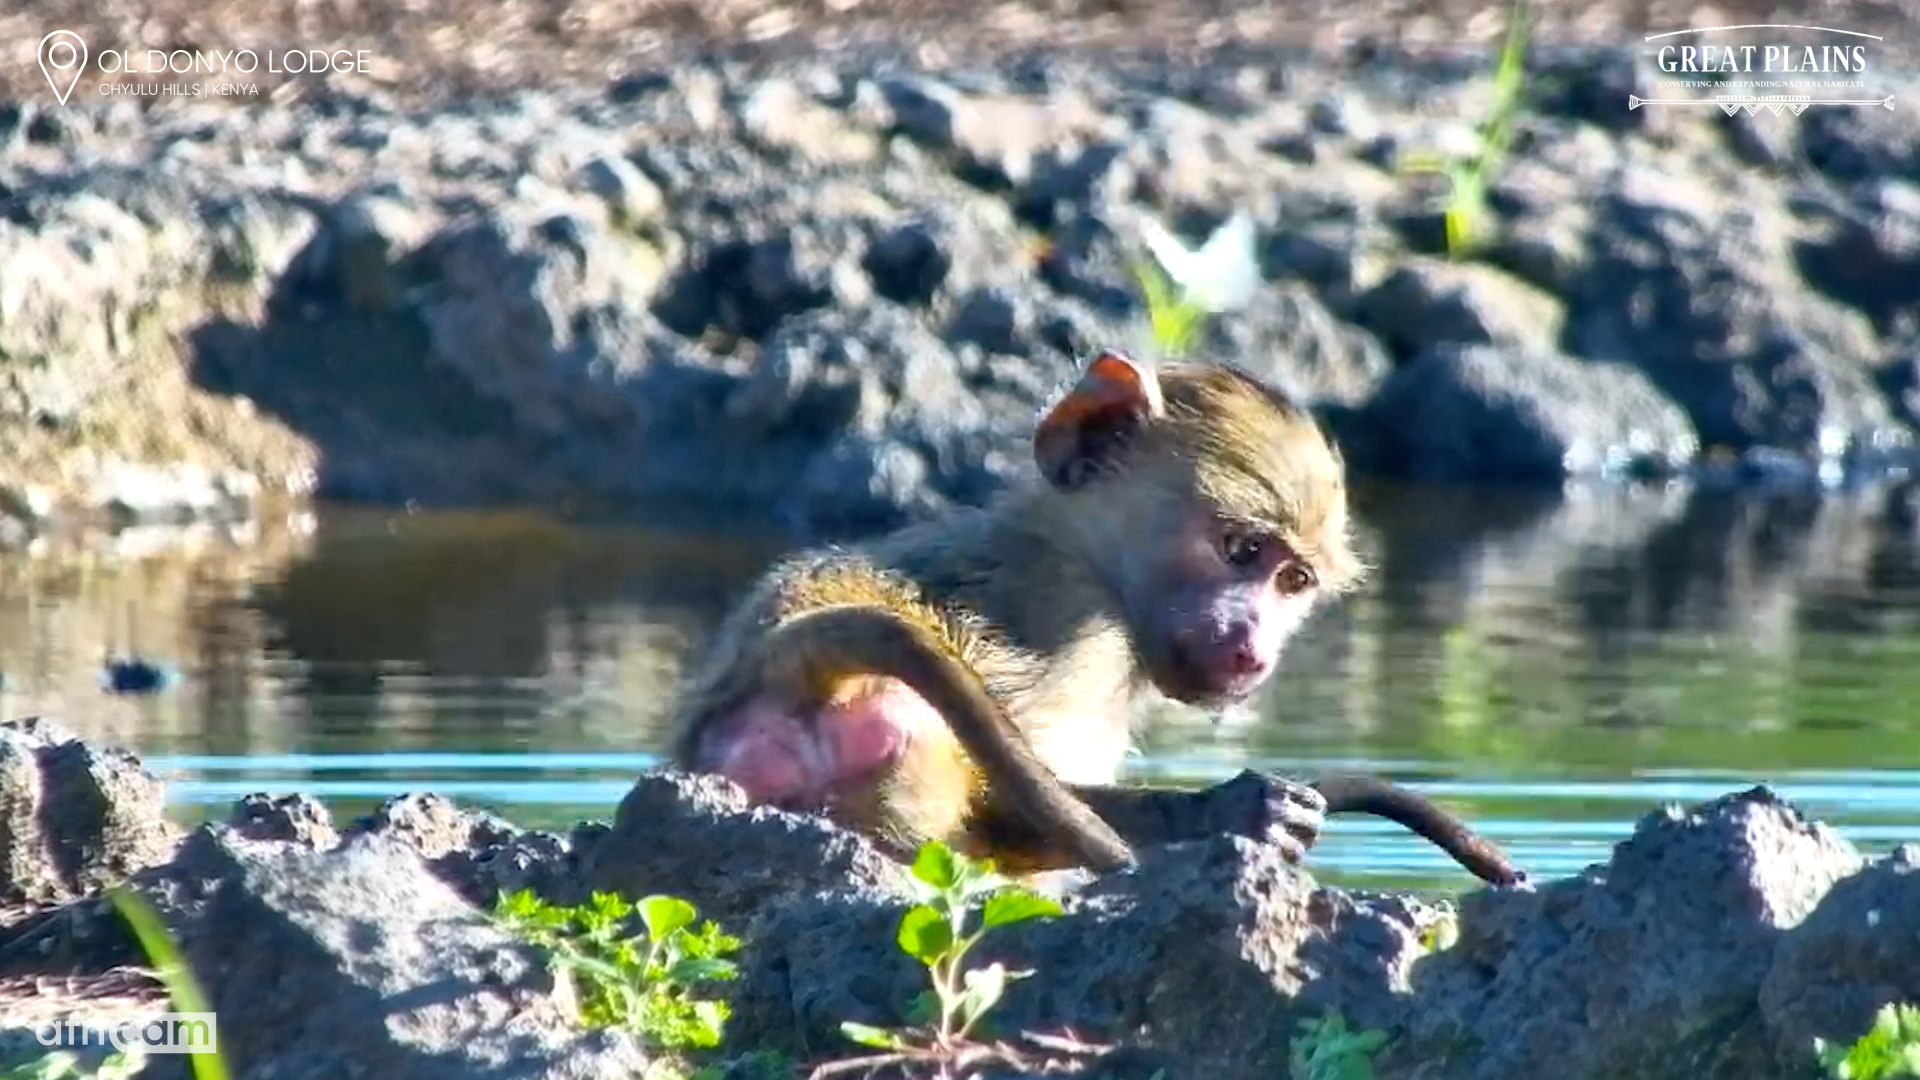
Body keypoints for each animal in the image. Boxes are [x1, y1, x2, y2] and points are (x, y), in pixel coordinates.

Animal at [666, 348, 1523, 888]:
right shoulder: (1082, 642)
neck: (1075, 554)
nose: (1253, 650)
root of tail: (787, 655)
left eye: (1294, 580)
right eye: (1241, 549)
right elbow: (1010, 815)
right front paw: (1232, 810)